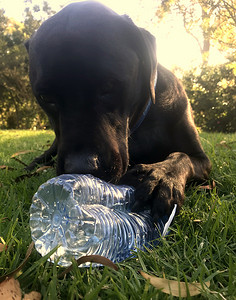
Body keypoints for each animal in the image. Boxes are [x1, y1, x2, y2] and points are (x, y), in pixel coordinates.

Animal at [24, 1, 211, 221]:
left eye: (109, 85)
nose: (81, 168)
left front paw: (159, 177)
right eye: (45, 97)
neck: (143, 124)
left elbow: (182, 156)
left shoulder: (201, 158)